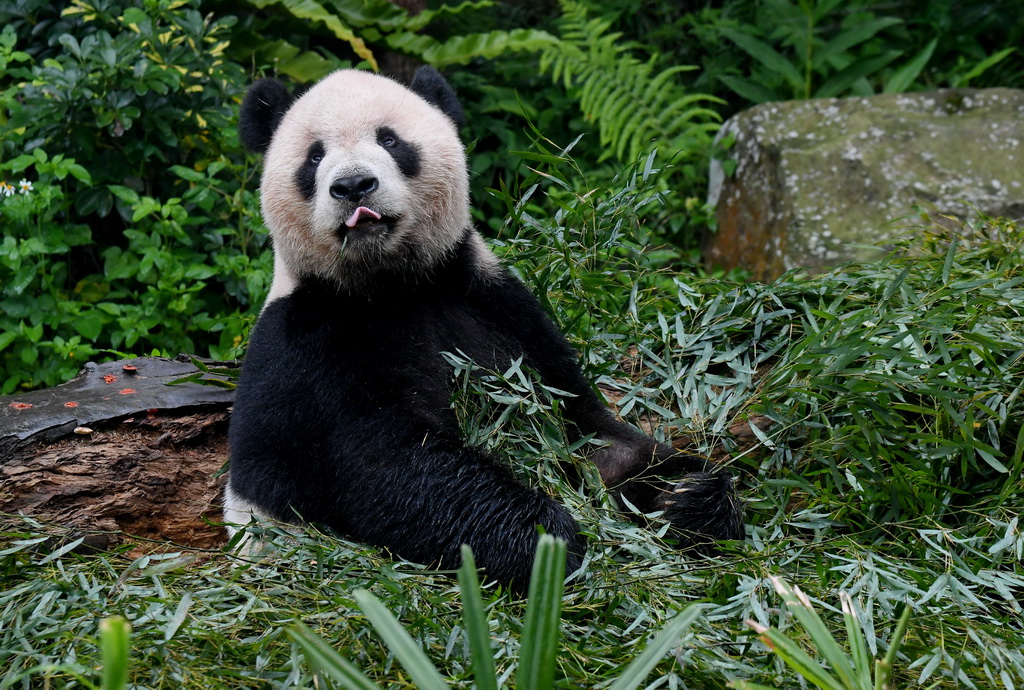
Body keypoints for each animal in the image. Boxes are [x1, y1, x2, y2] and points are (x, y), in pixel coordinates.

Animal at [224, 67, 741, 589]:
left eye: (390, 140)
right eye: (315, 156)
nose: (353, 186)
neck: (388, 284)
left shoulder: (492, 304)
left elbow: (588, 433)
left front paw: (691, 498)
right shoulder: (309, 348)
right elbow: (386, 467)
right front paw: (549, 542)